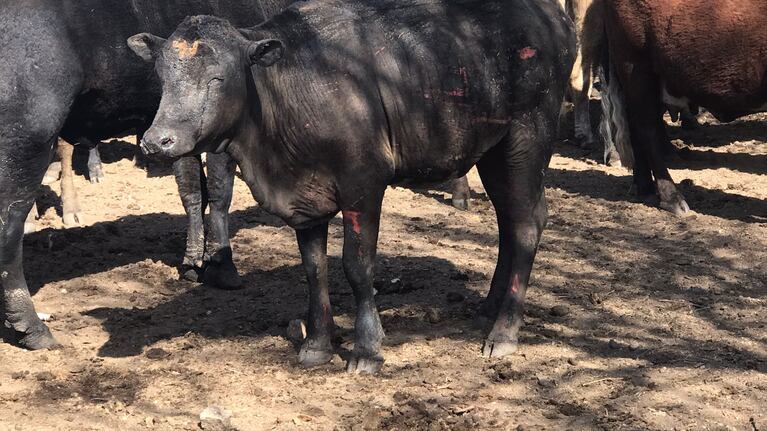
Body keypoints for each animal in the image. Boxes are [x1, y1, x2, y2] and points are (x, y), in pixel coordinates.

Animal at [0, 0, 304, 351]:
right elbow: (218, 193)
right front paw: (221, 266)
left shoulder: (178, 133)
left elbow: (192, 191)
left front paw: (194, 261)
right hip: (26, 142)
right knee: (8, 232)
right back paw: (31, 326)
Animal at [133, 0, 575, 373]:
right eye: (162, 78)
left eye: (218, 78)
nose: (157, 141)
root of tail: (554, 16)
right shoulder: (305, 199)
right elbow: (315, 270)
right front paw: (317, 345)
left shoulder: (364, 183)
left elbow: (357, 266)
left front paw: (366, 348)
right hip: (493, 150)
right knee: (509, 220)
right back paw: (487, 308)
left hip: (527, 138)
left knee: (526, 226)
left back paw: (504, 332)